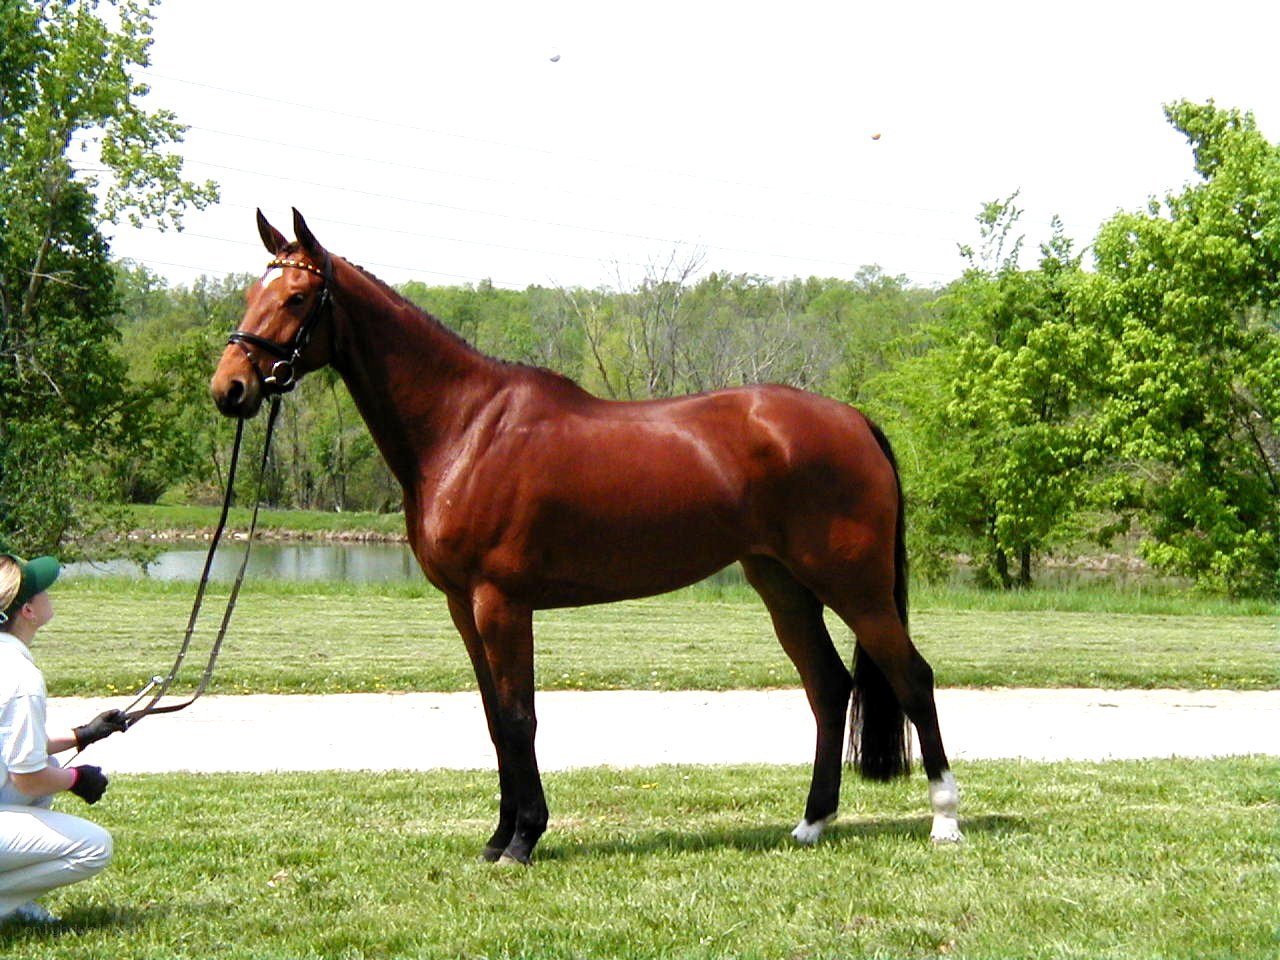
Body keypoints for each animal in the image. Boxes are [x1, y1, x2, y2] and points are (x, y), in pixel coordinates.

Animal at [210, 209, 962, 864]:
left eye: (298, 296)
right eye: (252, 292)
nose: (231, 388)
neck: (465, 427)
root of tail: (854, 420)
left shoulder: (501, 603)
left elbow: (519, 718)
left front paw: (522, 839)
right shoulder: (463, 607)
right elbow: (495, 720)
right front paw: (498, 838)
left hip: (854, 583)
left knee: (911, 676)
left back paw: (945, 819)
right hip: (782, 583)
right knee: (829, 687)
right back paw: (811, 823)